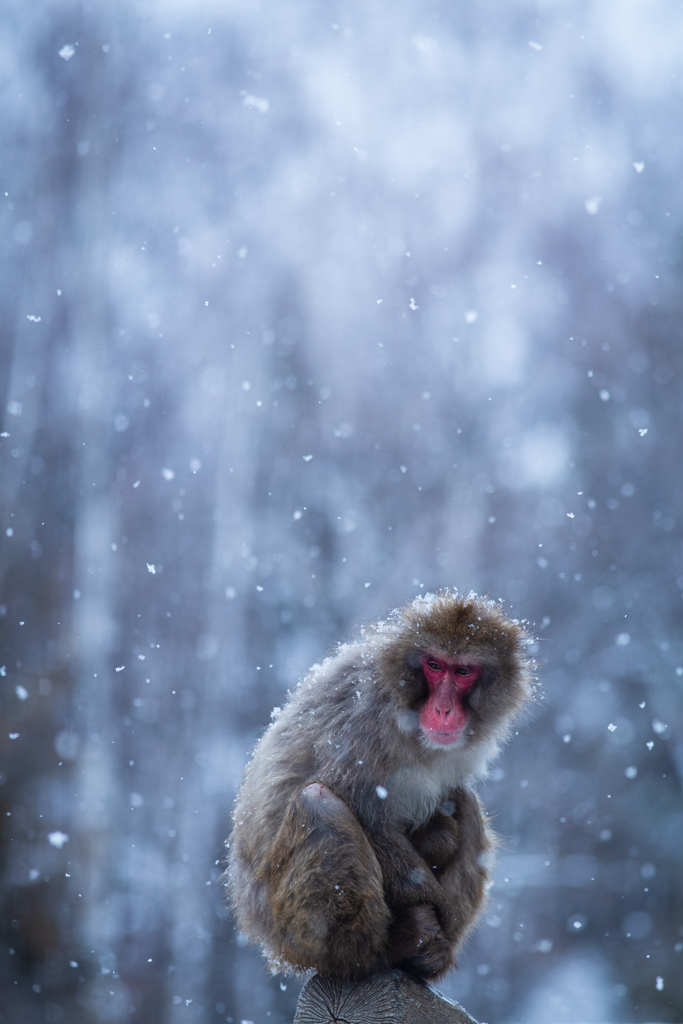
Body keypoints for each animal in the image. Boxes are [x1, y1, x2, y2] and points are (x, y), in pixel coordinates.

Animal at [227, 589, 536, 978]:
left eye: (463, 671)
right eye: (435, 666)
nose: (444, 710)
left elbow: (448, 805)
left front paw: (437, 840)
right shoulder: (364, 723)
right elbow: (364, 812)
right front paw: (435, 903)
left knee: (466, 802)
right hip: (286, 928)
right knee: (319, 805)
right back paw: (382, 948)